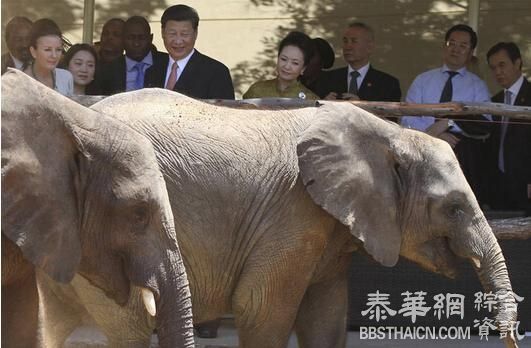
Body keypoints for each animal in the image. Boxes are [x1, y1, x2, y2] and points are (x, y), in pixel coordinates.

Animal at [46, 87, 520, 348]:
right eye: (453, 208)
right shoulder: (293, 213)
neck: (390, 134)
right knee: (128, 328)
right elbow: (262, 308)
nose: (513, 341)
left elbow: (325, 318)